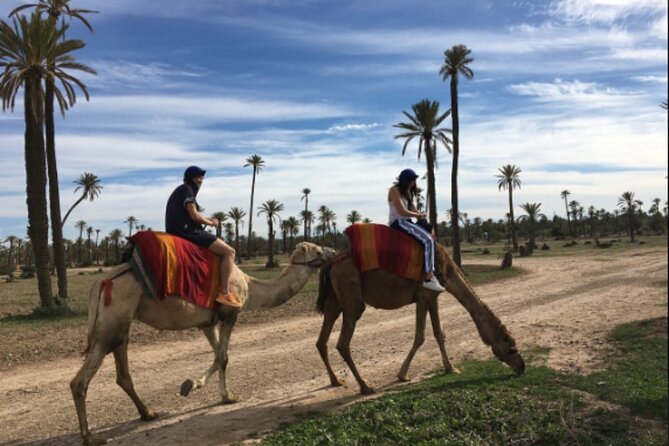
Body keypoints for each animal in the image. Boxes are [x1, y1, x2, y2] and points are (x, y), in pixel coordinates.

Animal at [69, 242, 334, 444]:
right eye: (317, 250)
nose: (332, 251)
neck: (250, 287)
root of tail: (101, 284)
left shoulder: (207, 322)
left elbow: (219, 356)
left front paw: (193, 386)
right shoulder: (230, 314)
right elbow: (224, 357)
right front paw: (226, 396)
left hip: (120, 322)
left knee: (122, 371)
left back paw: (148, 413)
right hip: (112, 320)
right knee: (80, 381)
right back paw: (90, 437)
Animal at [316, 240, 524, 394]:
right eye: (511, 348)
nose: (522, 367)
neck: (448, 271)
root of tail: (332, 263)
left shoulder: (433, 297)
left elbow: (439, 333)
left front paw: (451, 368)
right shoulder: (424, 296)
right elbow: (420, 337)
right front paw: (402, 375)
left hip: (334, 300)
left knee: (321, 340)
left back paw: (336, 380)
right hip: (351, 297)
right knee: (343, 343)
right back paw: (365, 386)